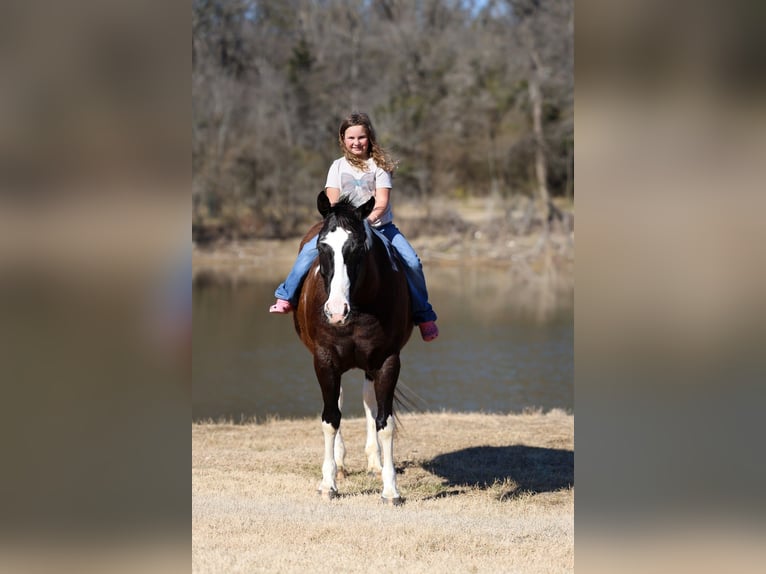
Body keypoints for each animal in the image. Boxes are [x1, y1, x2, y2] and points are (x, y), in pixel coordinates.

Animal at [292, 191, 413, 504]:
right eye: (322, 246)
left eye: (358, 247)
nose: (336, 311)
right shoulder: (324, 360)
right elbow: (330, 419)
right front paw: (328, 484)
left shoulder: (387, 361)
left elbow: (385, 422)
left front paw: (390, 489)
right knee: (339, 401)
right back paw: (341, 465)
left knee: (369, 401)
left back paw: (374, 463)